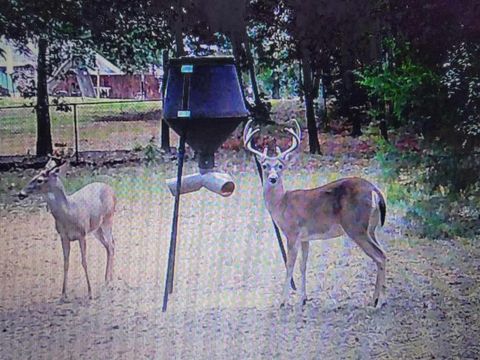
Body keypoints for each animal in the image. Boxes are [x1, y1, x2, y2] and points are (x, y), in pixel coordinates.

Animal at [19, 156, 117, 300]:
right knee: (109, 246)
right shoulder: (63, 236)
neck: (69, 214)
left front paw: (90, 293)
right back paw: (107, 279)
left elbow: (84, 261)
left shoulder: (82, 234)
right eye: (33, 176)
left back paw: (110, 282)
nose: (20, 194)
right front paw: (63, 294)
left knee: (111, 244)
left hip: (108, 219)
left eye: (39, 180)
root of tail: (111, 189)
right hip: (96, 229)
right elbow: (66, 263)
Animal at [244, 120, 386, 306]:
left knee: (380, 256)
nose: (273, 178)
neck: (281, 204)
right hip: (371, 227)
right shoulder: (305, 238)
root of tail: (375, 190)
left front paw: (283, 300)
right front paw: (303, 298)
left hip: (355, 226)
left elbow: (289, 265)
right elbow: (303, 265)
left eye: (281, 166)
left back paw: (376, 300)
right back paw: (382, 298)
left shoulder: (292, 233)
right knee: (383, 254)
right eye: (265, 166)